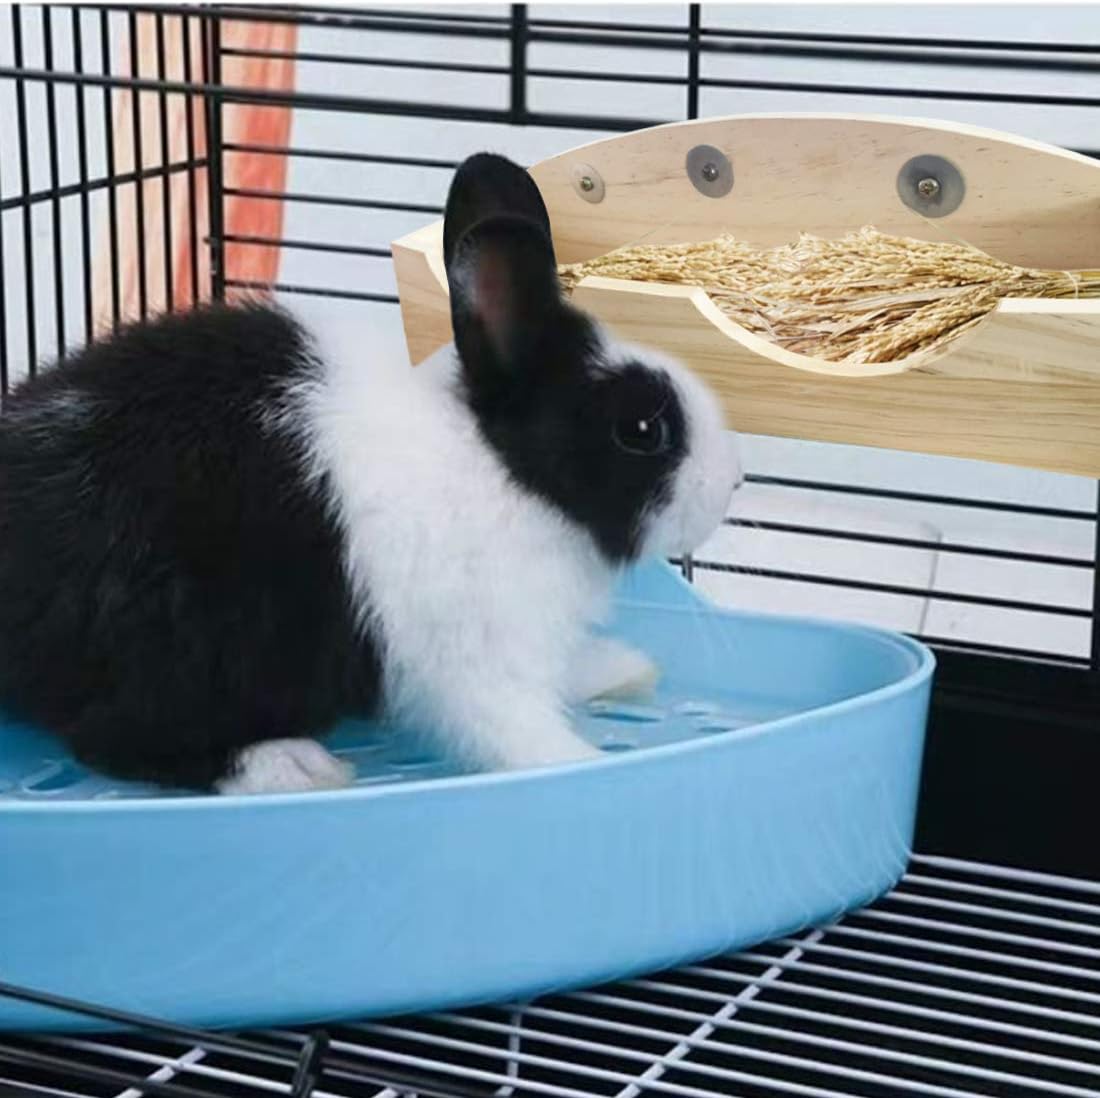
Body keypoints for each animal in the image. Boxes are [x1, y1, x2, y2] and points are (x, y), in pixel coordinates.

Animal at [0, 152, 742, 795]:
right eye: (641, 430)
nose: (734, 478)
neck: (505, 467)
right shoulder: (475, 656)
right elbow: (513, 729)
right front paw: (585, 764)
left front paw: (622, 669)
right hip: (178, 637)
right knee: (115, 737)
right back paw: (291, 766)